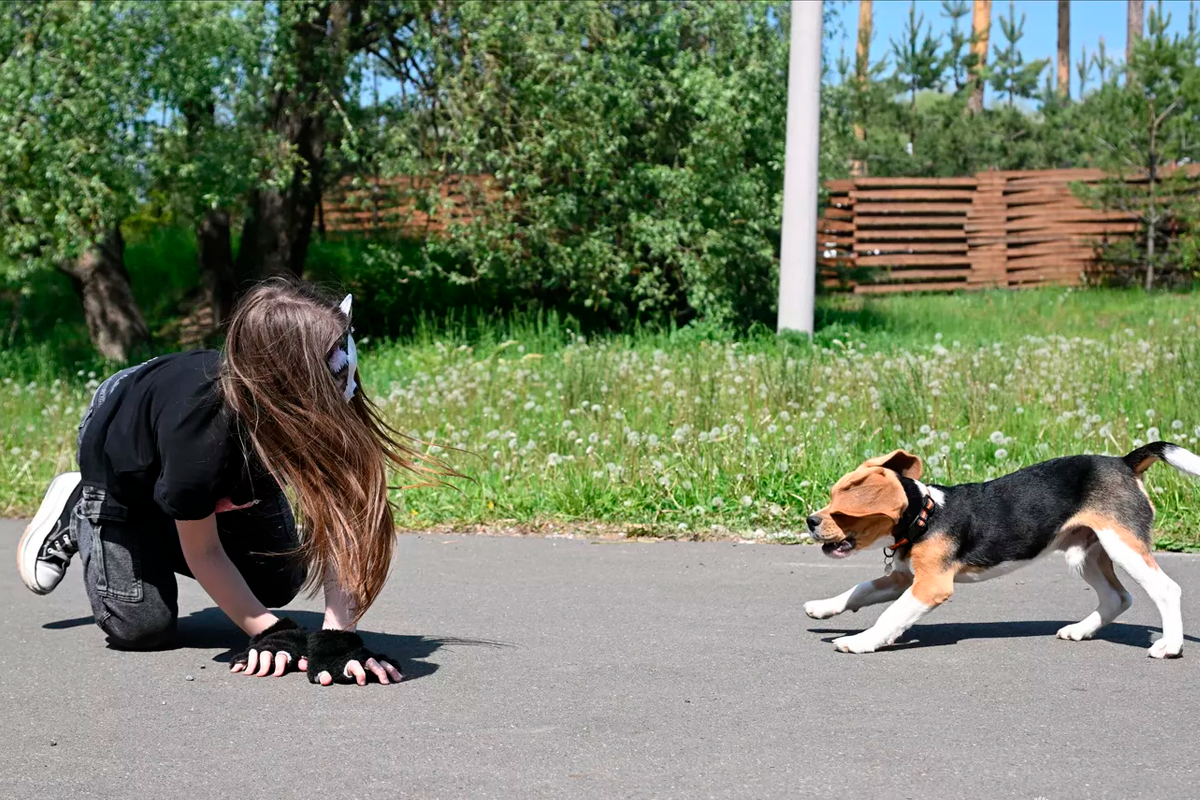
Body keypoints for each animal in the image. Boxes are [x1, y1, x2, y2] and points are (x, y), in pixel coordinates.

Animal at [801, 441, 1195, 662]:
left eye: (841, 510)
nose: (810, 520)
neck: (925, 516)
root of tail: (1123, 462)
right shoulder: (902, 577)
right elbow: (860, 590)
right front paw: (823, 608)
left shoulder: (930, 586)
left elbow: (890, 615)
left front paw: (861, 641)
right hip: (1083, 552)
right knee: (1117, 597)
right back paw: (1080, 630)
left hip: (1121, 544)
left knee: (1167, 589)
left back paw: (1169, 647)